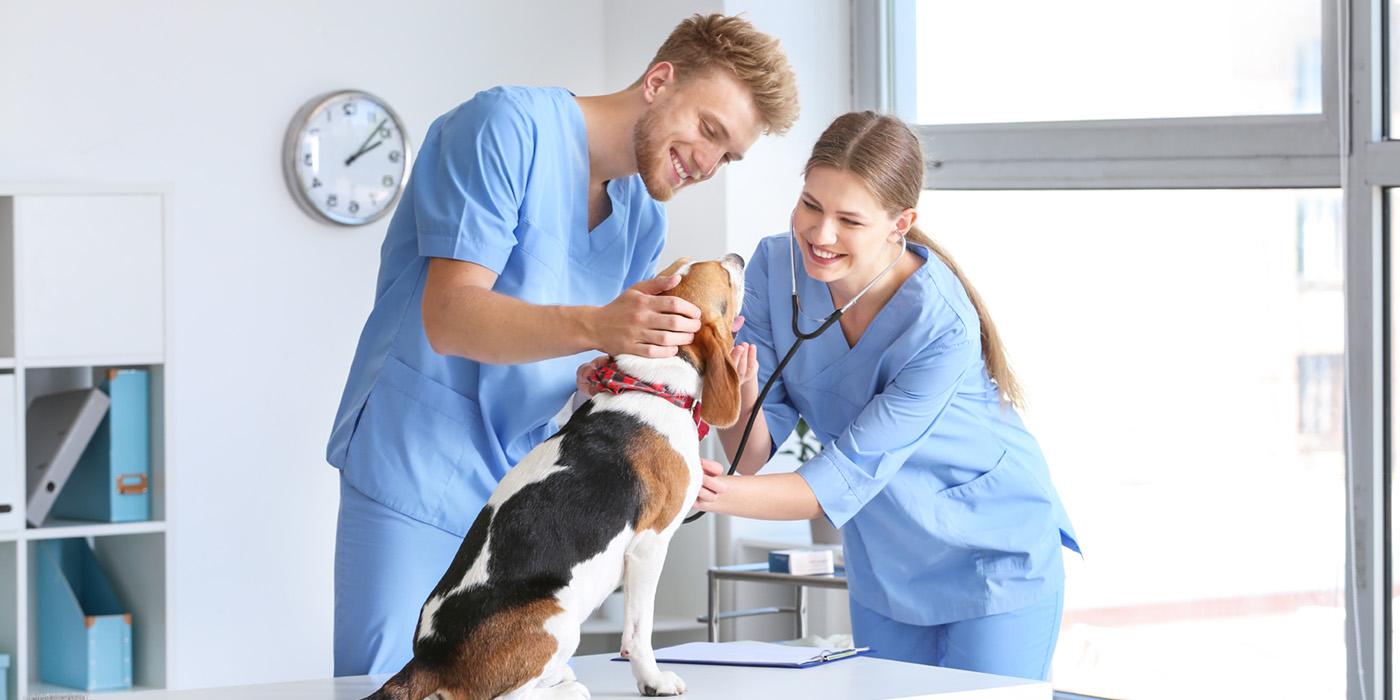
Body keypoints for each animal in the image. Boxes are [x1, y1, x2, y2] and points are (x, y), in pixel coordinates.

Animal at [366, 256, 750, 700]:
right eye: (723, 275)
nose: (739, 258)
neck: (651, 384)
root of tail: (429, 659)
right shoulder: (649, 546)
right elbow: (639, 632)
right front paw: (653, 680)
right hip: (559, 614)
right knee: (506, 696)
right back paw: (568, 688)